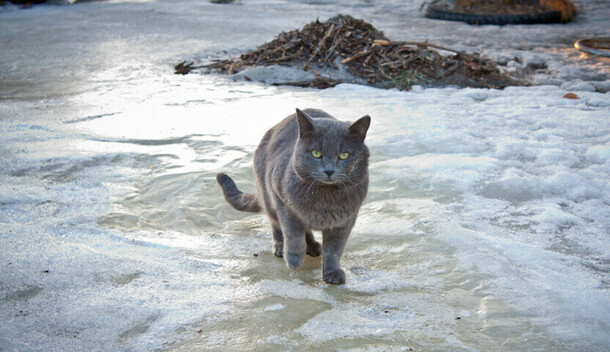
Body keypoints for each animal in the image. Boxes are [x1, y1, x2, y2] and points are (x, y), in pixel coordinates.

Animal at [218, 107, 370, 284]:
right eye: (316, 153)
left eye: (344, 155)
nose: (329, 170)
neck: (325, 198)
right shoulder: (284, 203)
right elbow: (293, 234)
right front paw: (293, 260)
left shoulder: (345, 220)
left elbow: (334, 249)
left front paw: (333, 273)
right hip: (268, 195)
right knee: (276, 224)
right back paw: (281, 247)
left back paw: (313, 247)